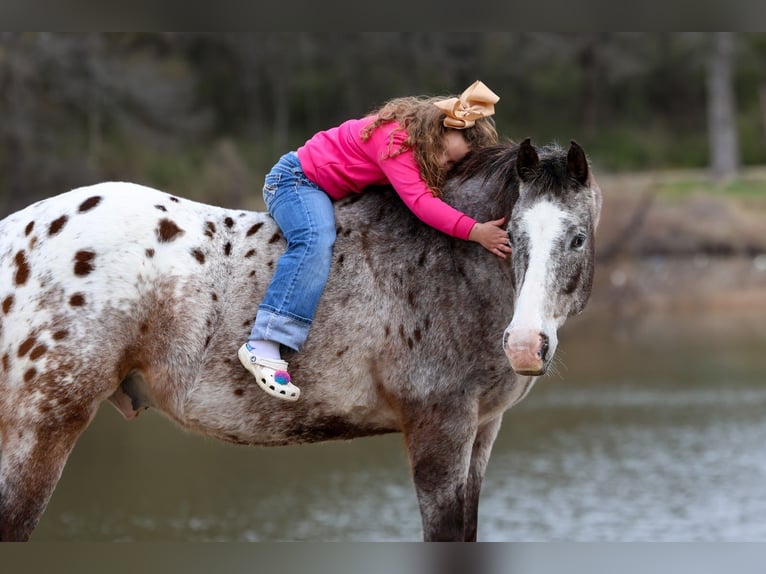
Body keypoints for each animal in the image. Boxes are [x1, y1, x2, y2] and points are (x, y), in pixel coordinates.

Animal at [0, 138, 602, 541]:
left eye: (576, 238)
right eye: (513, 235)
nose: (525, 344)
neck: (443, 261)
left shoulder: (480, 432)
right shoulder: (440, 430)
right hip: (41, 430)